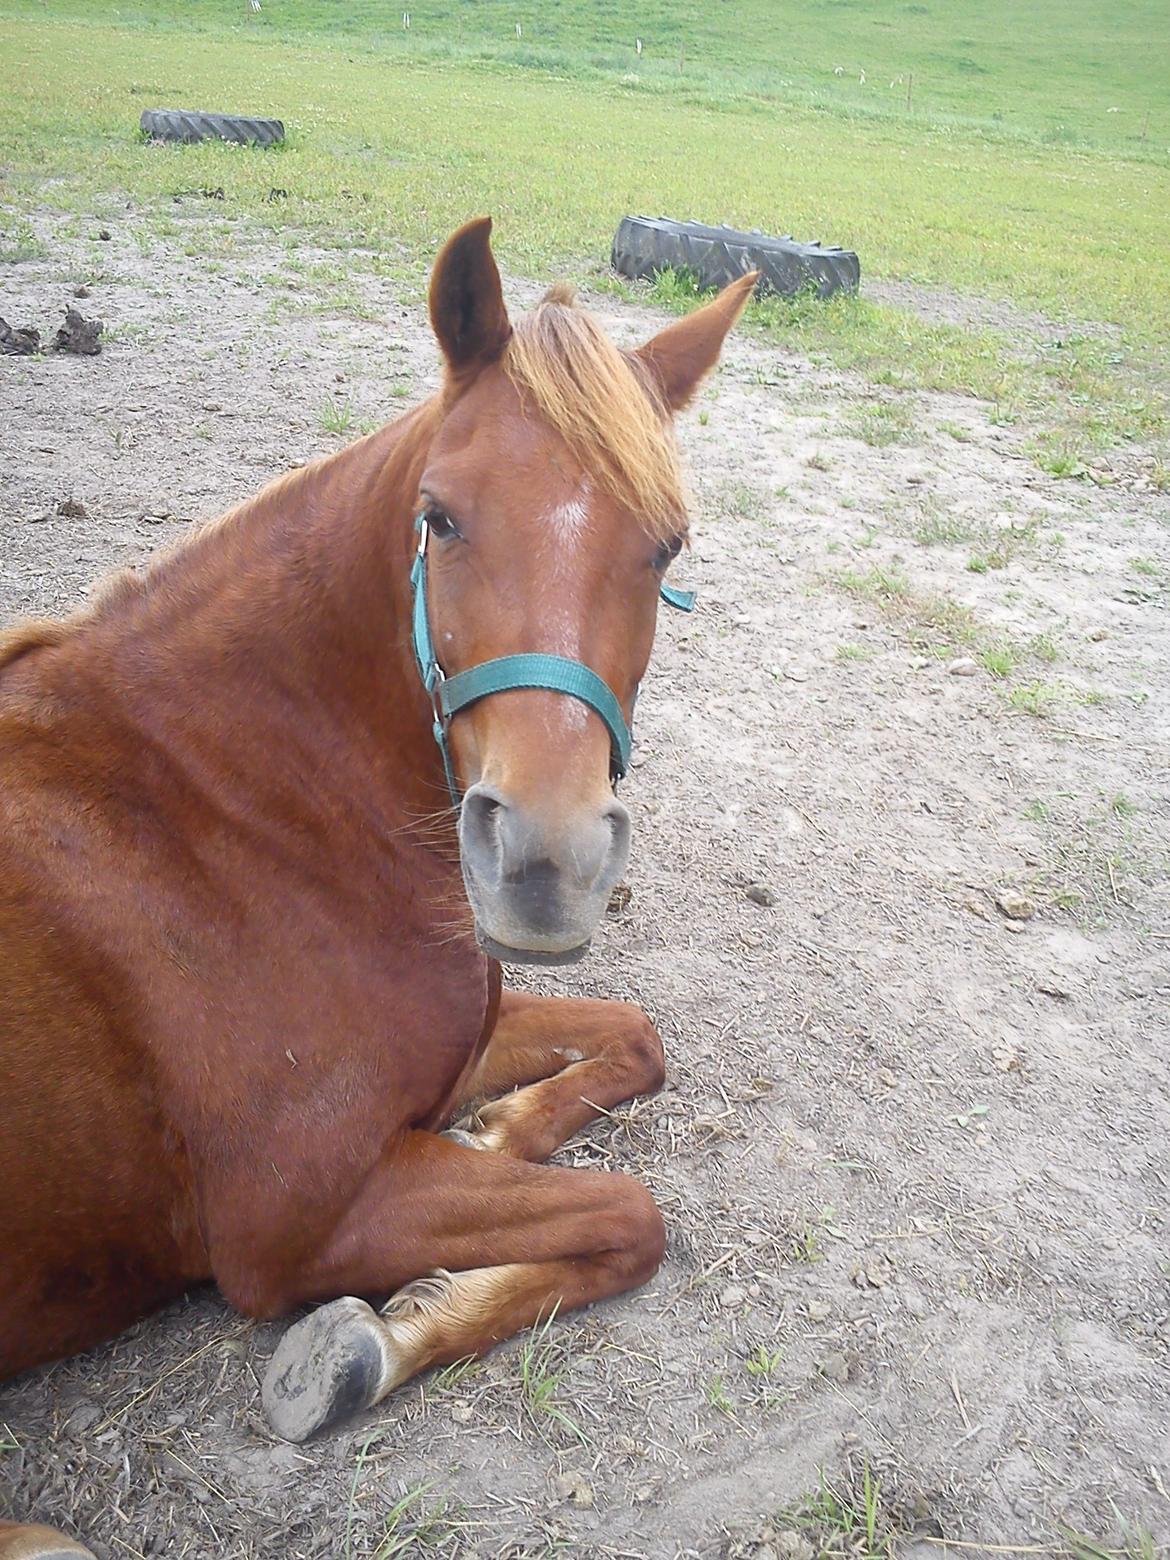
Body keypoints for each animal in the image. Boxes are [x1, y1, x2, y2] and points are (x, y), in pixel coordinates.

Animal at [0, 217, 755, 1559]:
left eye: (666, 545)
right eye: (439, 519)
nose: (547, 865)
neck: (226, 805)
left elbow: (635, 1036)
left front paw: (501, 1130)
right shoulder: (298, 1226)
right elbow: (629, 1213)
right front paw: (371, 1345)